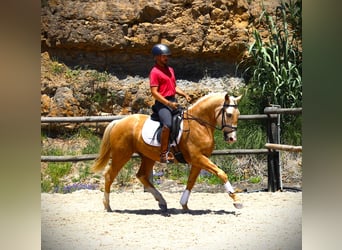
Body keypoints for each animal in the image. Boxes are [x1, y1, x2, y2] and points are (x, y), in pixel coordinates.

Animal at [91, 92, 243, 215]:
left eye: (238, 114)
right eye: (229, 114)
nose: (232, 138)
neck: (199, 125)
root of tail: (118, 121)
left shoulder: (199, 160)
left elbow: (191, 181)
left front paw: (184, 205)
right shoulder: (198, 158)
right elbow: (221, 173)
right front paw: (236, 200)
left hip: (147, 156)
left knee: (141, 175)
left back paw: (162, 202)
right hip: (122, 155)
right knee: (109, 175)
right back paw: (107, 205)